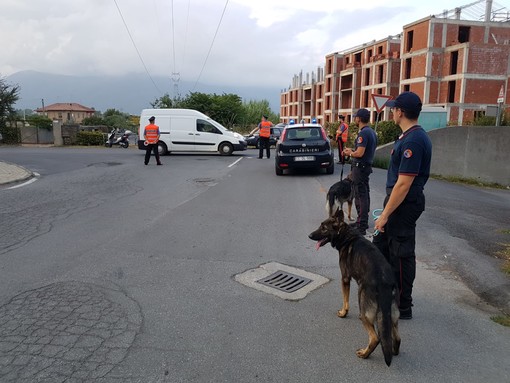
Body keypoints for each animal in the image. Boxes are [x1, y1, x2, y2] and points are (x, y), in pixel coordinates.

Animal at [308, 210, 400, 368]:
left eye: (324, 228)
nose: (309, 235)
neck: (346, 236)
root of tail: (384, 282)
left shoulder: (345, 278)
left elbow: (345, 300)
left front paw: (343, 313)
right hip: (392, 315)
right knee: (397, 337)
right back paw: (394, 351)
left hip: (363, 310)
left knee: (375, 338)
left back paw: (364, 353)